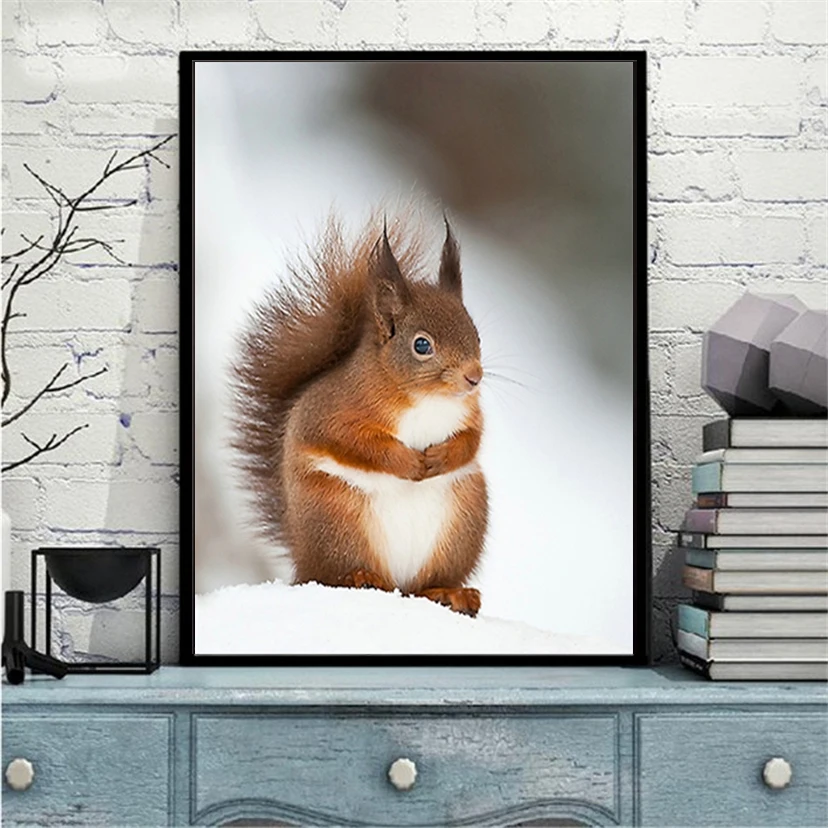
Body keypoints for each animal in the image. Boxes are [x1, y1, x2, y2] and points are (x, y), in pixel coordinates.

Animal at [232, 215, 487, 617]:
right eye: (422, 345)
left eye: (475, 334)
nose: (474, 377)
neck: (425, 398)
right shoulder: (335, 412)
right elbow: (355, 443)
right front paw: (409, 462)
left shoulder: (470, 413)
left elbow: (471, 441)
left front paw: (440, 457)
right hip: (337, 522)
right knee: (333, 575)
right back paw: (362, 577)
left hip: (463, 522)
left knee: (425, 586)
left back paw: (450, 593)